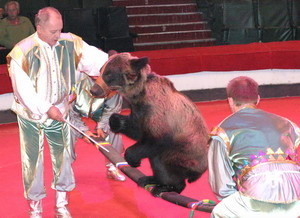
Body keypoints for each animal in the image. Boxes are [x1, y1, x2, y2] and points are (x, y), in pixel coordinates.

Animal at [91, 53, 209, 196]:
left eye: (109, 74)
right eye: (101, 70)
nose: (93, 90)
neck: (139, 95)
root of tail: (201, 171)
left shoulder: (159, 113)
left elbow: (157, 140)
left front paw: (132, 158)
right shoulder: (139, 111)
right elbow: (136, 130)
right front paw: (115, 121)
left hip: (185, 158)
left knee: (163, 162)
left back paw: (167, 186)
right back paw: (150, 179)